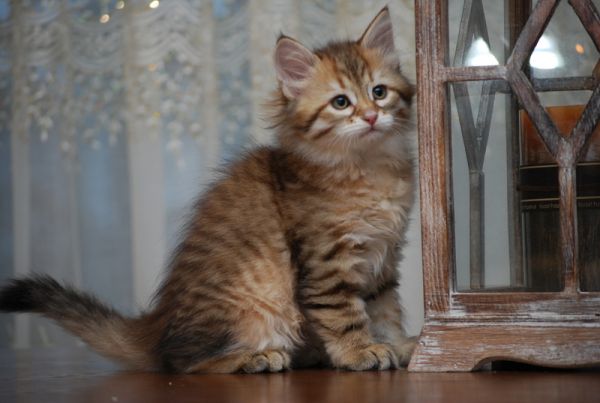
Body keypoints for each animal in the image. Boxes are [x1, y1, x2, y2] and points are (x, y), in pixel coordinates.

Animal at [0, 6, 415, 374]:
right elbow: (344, 313)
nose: (371, 116)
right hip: (257, 306)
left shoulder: (383, 261)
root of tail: (156, 328)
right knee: (182, 363)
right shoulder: (327, 262)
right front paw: (359, 351)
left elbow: (385, 310)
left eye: (379, 92)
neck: (368, 167)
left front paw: (398, 345)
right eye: (341, 102)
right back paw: (256, 358)